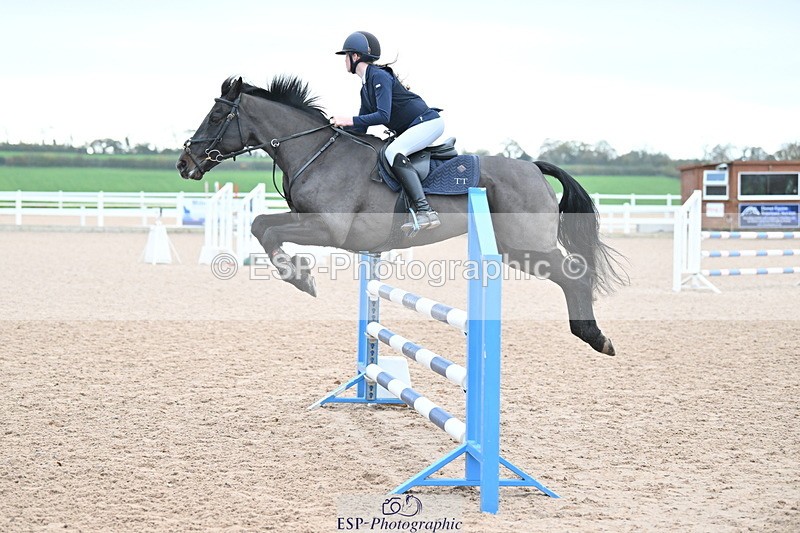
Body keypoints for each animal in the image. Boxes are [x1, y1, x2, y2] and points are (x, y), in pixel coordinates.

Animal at [177, 76, 626, 355]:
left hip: (528, 244)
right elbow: (261, 225)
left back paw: (595, 337)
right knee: (569, 276)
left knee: (575, 275)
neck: (315, 151)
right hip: (517, 251)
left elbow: (263, 227)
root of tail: (533, 167)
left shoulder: (328, 228)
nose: (185, 164)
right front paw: (299, 272)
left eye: (216, 116)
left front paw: (300, 277)